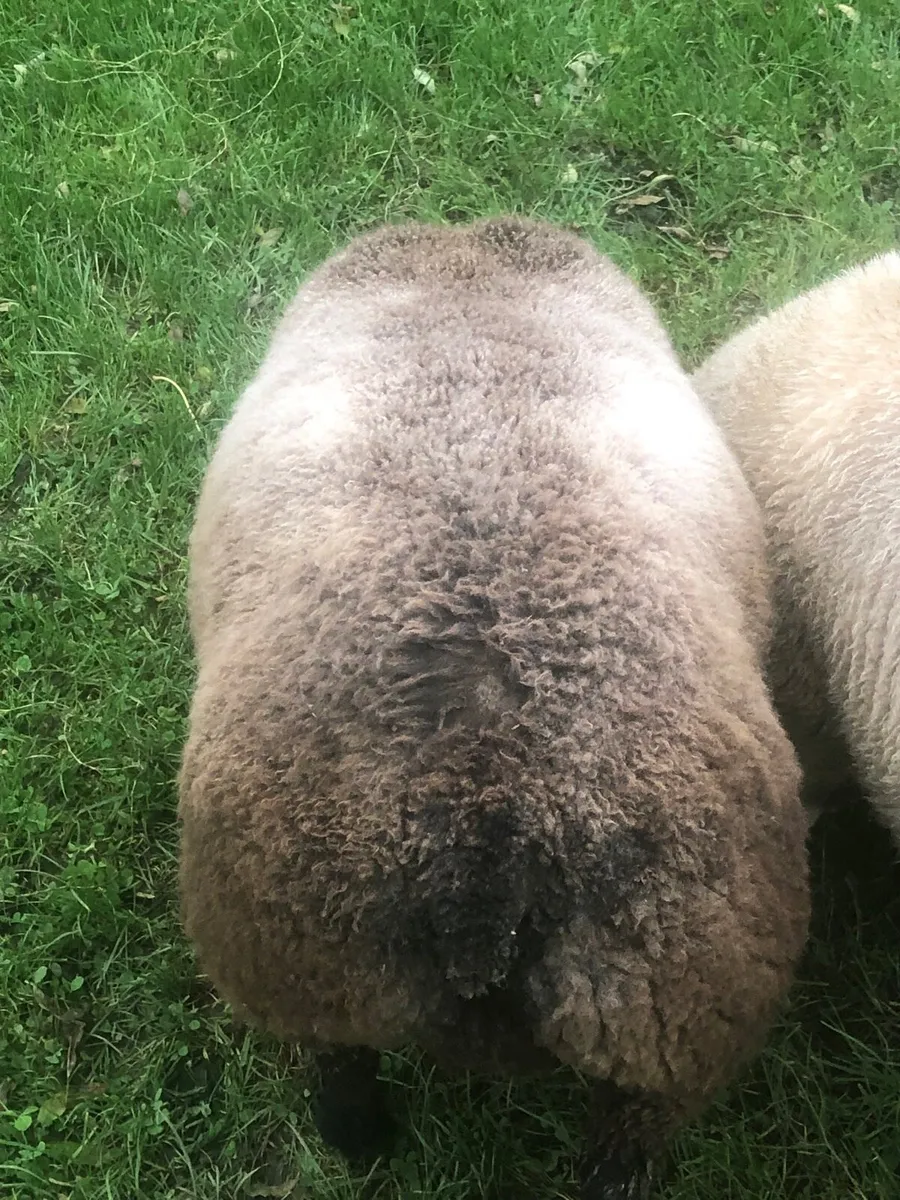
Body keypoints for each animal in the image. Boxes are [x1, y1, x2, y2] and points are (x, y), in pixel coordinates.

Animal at [177, 216, 810, 1198]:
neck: (467, 283)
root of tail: (483, 840)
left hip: (318, 964)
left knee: (344, 1080)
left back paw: (366, 1146)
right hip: (660, 1012)